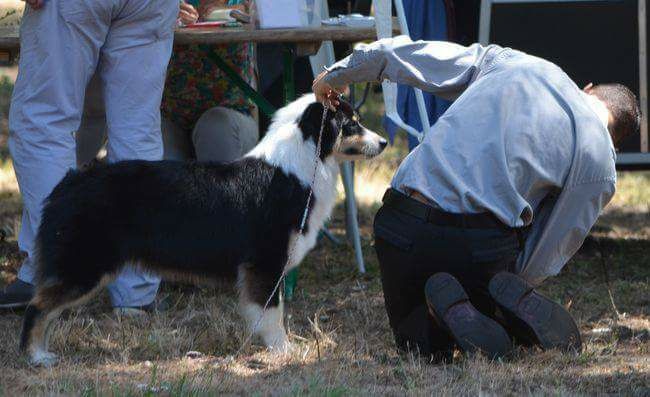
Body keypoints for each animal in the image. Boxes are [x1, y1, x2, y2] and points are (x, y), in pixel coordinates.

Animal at [20, 93, 384, 366]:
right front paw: (284, 351)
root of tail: (68, 182)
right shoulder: (265, 263)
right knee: (37, 307)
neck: (299, 167)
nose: (383, 142)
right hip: (83, 266)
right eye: (352, 124)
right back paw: (36, 356)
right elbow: (272, 314)